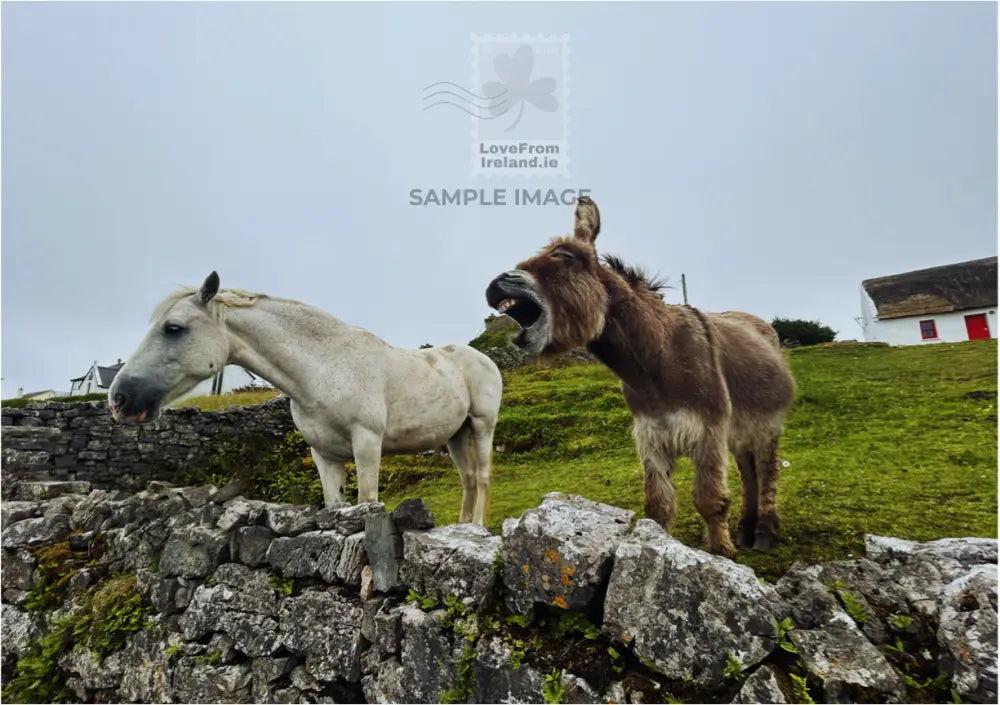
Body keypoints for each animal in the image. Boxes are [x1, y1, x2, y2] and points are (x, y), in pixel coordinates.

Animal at [108, 272, 503, 524]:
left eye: (174, 328)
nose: (119, 398)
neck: (324, 367)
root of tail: (482, 359)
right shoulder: (324, 455)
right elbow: (334, 505)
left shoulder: (367, 443)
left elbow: (368, 501)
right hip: (456, 435)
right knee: (468, 479)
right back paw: (462, 528)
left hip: (482, 427)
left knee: (483, 476)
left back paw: (477, 528)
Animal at [485, 198, 795, 555]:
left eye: (564, 256)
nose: (495, 284)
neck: (657, 362)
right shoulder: (652, 434)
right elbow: (658, 503)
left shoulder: (708, 431)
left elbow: (710, 500)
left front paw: (721, 552)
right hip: (739, 434)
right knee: (748, 471)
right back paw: (746, 529)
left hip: (766, 426)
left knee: (767, 469)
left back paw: (764, 532)